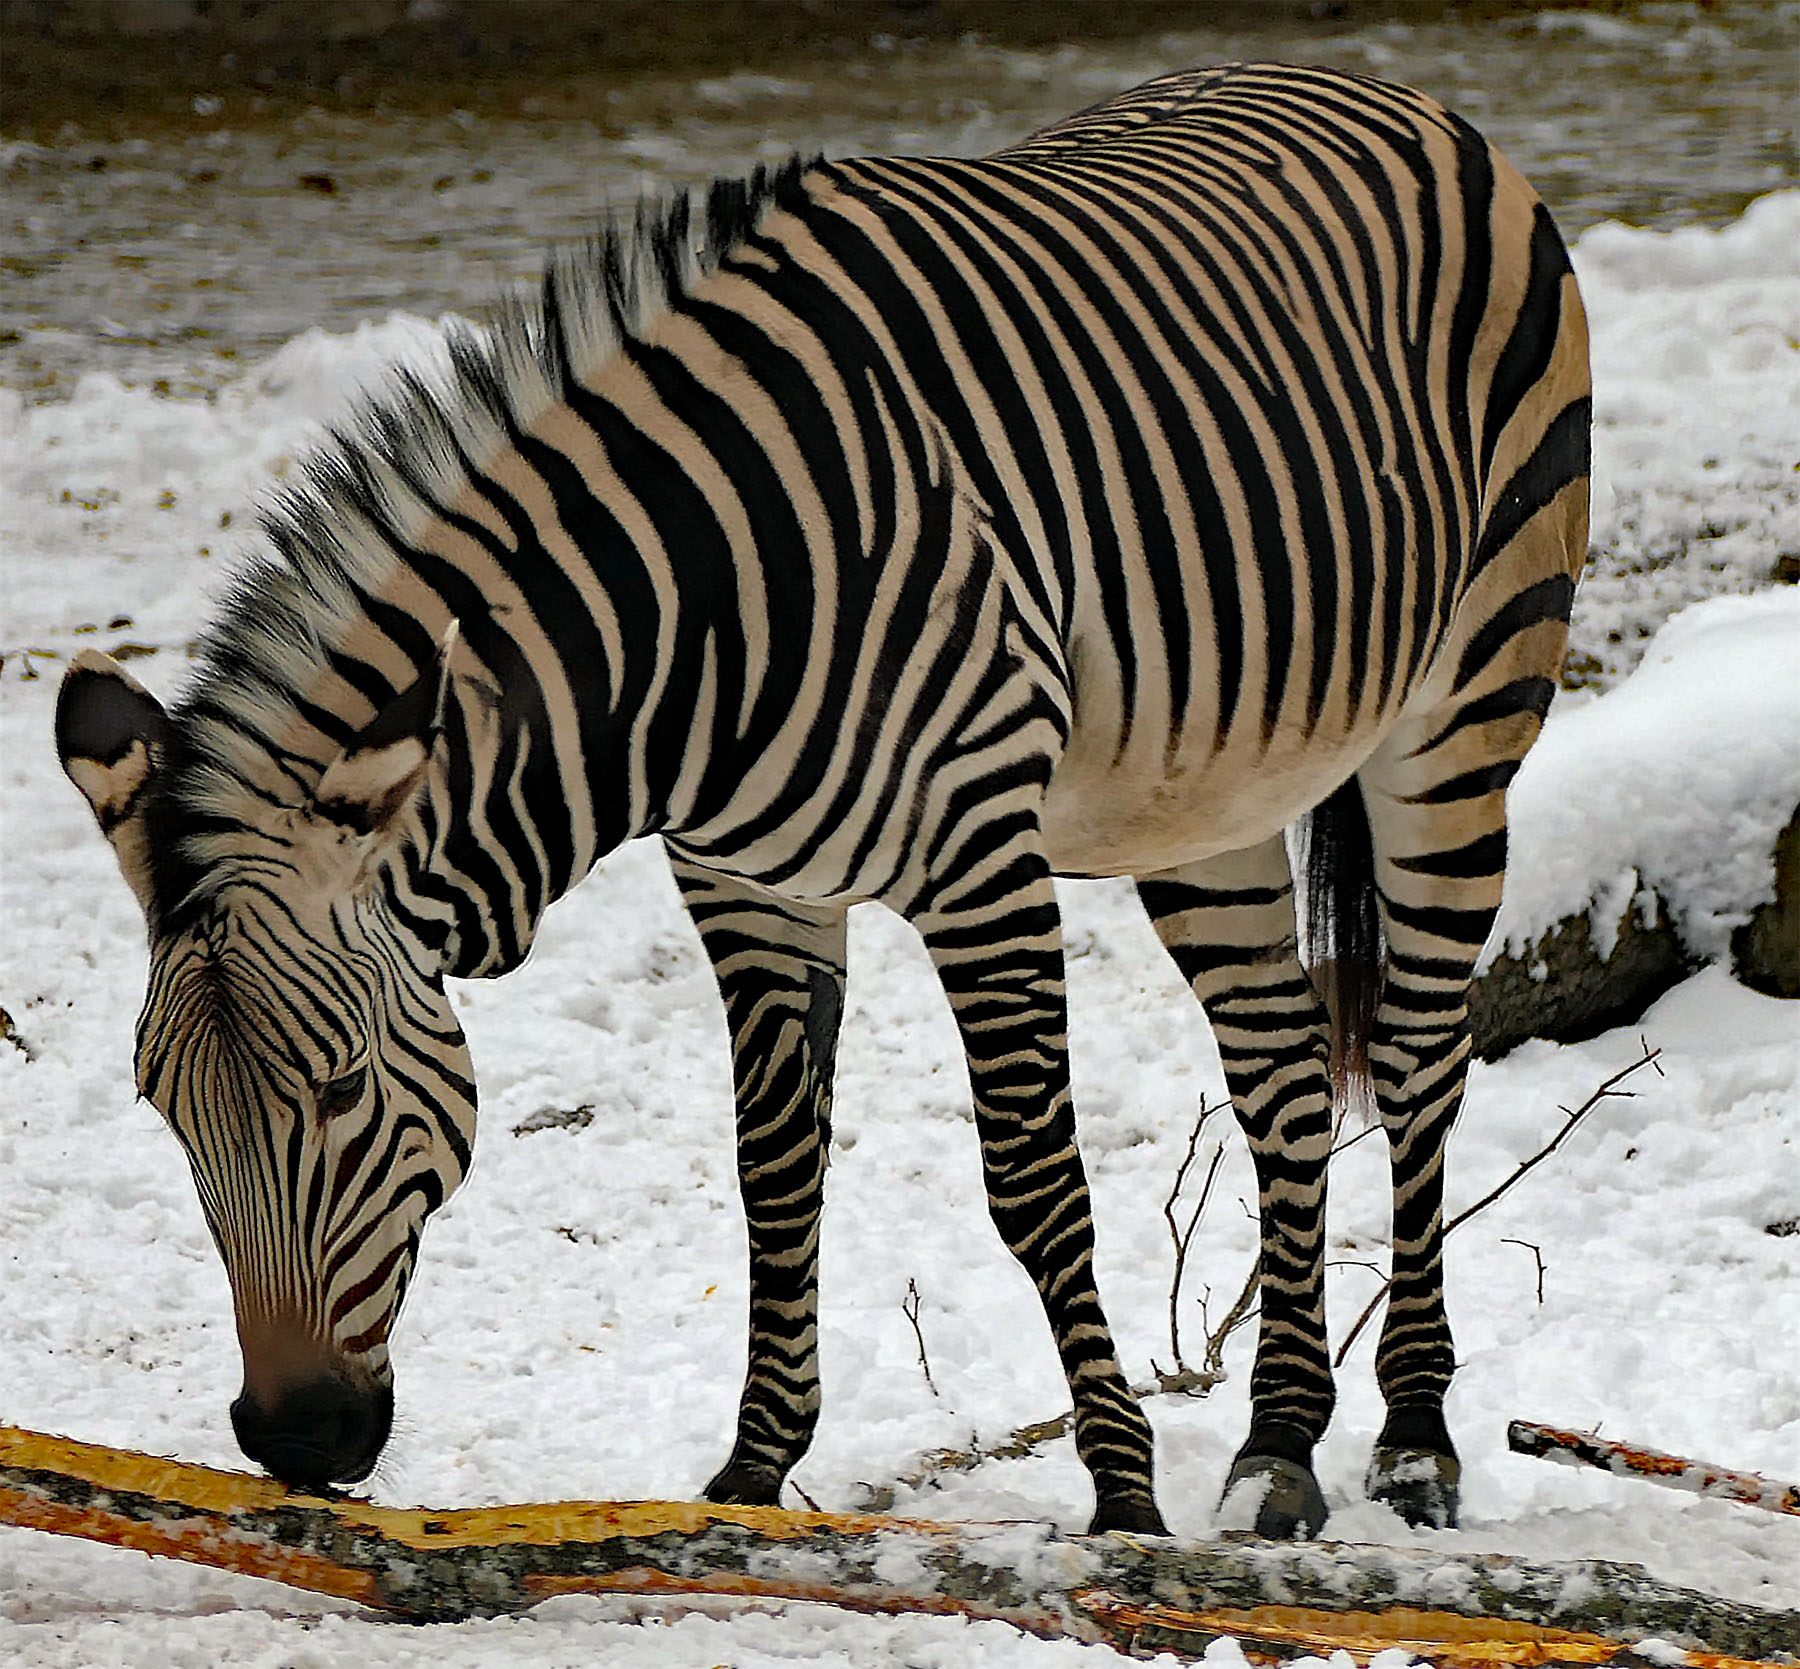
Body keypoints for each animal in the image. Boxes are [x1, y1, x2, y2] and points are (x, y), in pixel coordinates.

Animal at [56, 65, 1584, 1541]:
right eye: (167, 1114)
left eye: (342, 1087)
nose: (297, 1444)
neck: (685, 623)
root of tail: (1389, 90)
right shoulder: (745, 883)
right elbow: (774, 1170)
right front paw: (751, 1474)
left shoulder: (981, 861)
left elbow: (1034, 1182)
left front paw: (1121, 1496)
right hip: (1210, 792)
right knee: (1280, 1071)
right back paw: (1277, 1450)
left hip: (1466, 707)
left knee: (1423, 1057)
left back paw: (1413, 1443)